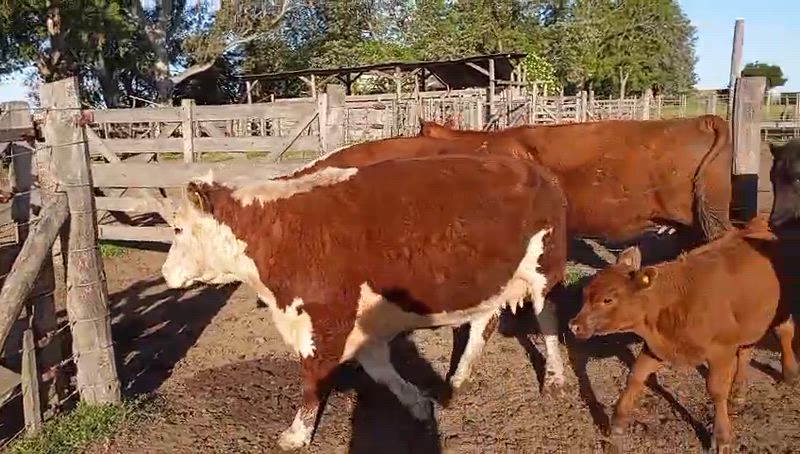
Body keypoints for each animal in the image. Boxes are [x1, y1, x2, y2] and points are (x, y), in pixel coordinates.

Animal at [161, 153, 568, 450]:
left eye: (178, 228)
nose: (165, 273)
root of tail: (533, 167)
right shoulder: (357, 324)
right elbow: (380, 369)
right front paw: (419, 403)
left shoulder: (325, 320)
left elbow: (314, 377)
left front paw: (297, 434)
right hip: (493, 282)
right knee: (485, 322)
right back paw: (458, 378)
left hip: (544, 268)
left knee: (548, 319)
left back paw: (556, 379)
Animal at [567, 215, 798, 453]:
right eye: (586, 293)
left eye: (608, 299)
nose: (574, 325)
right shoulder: (657, 346)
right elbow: (636, 376)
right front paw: (617, 424)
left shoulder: (721, 350)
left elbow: (716, 389)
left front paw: (722, 437)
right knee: (745, 351)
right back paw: (739, 392)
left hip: (780, 310)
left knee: (784, 332)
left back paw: (790, 374)